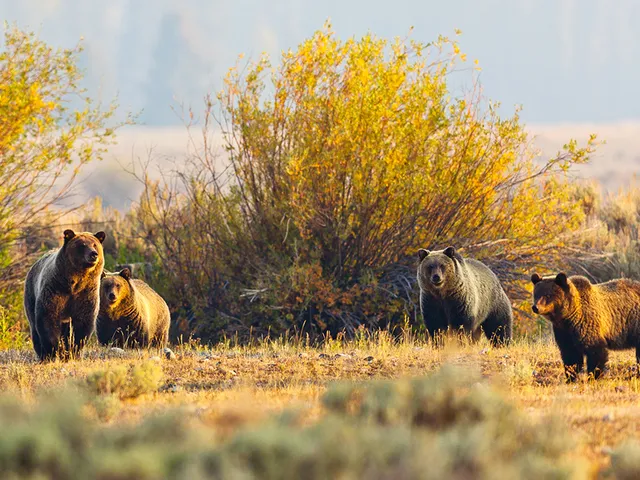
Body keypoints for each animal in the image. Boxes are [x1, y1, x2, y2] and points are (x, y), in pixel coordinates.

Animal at [23, 229, 106, 361]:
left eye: (95, 244)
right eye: (82, 245)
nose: (94, 254)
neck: (74, 283)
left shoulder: (85, 294)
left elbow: (82, 323)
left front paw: (72, 351)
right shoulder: (55, 290)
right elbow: (47, 318)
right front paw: (53, 351)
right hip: (31, 294)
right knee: (34, 326)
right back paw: (41, 354)